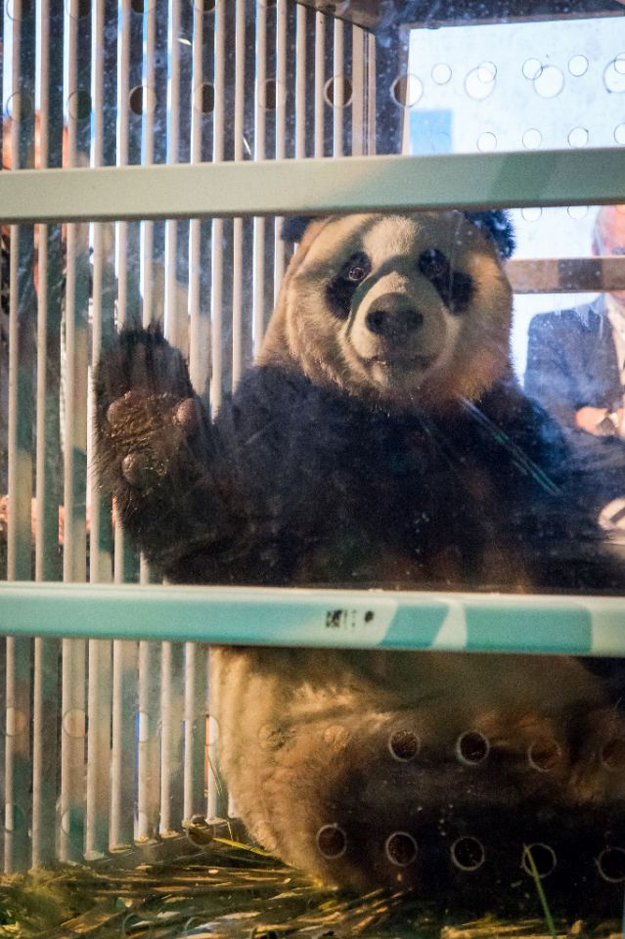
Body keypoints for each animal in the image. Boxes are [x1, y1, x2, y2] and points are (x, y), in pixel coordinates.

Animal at [95, 211, 624, 904]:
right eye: (353, 270)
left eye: (434, 264)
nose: (393, 315)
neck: (399, 417)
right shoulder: (293, 421)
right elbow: (232, 558)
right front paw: (144, 417)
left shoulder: (503, 437)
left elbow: (564, 559)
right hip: (336, 751)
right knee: (417, 809)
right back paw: (578, 815)